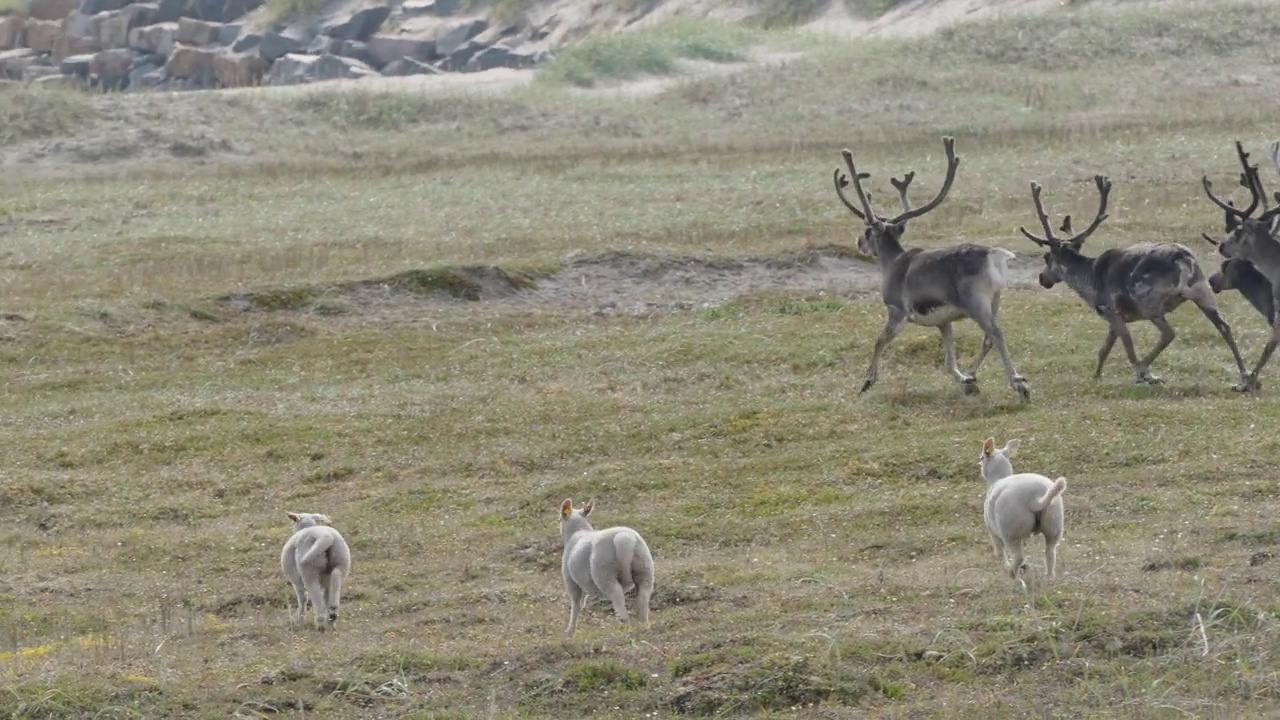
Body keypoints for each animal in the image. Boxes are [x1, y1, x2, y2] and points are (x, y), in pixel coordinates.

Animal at [560, 497, 655, 635]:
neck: (578, 531)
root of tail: (624, 540)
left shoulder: (571, 581)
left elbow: (576, 605)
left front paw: (570, 630)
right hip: (644, 568)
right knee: (642, 598)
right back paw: (643, 625)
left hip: (605, 573)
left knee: (617, 596)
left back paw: (622, 627)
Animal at [972, 438, 1064, 576]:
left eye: (981, 457)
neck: (997, 478)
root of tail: (1035, 499)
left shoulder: (992, 530)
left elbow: (999, 553)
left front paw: (1004, 567)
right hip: (1053, 525)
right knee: (1050, 554)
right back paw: (1049, 577)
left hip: (1011, 531)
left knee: (1019, 557)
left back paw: (1011, 573)